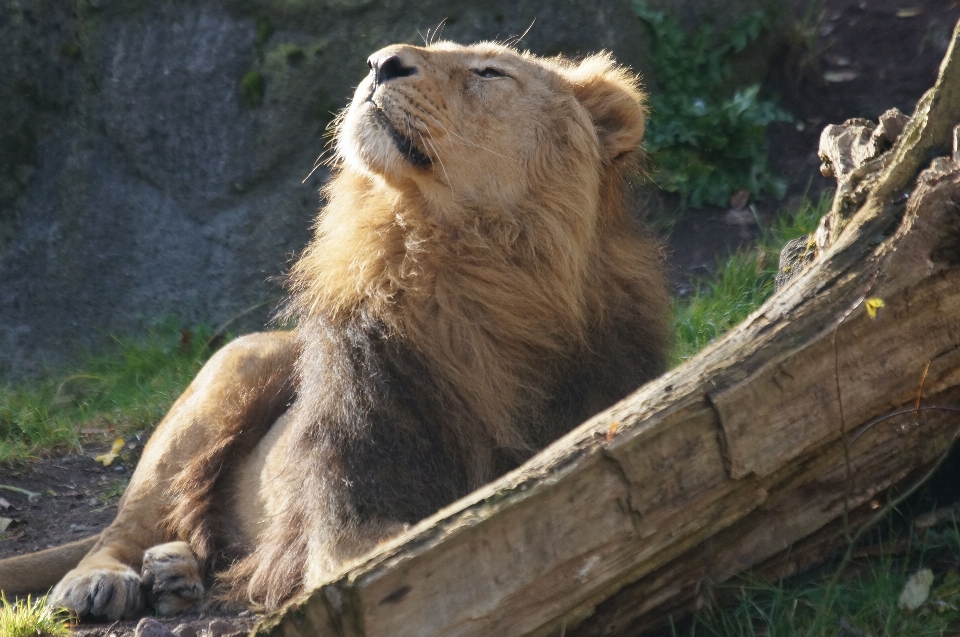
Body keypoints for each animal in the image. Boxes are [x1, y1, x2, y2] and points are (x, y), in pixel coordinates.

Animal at [0, 41, 668, 620]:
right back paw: (103, 580)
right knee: (126, 523)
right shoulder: (348, 516)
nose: (380, 61)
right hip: (231, 369)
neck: (464, 274)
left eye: (488, 72)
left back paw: (174, 574)